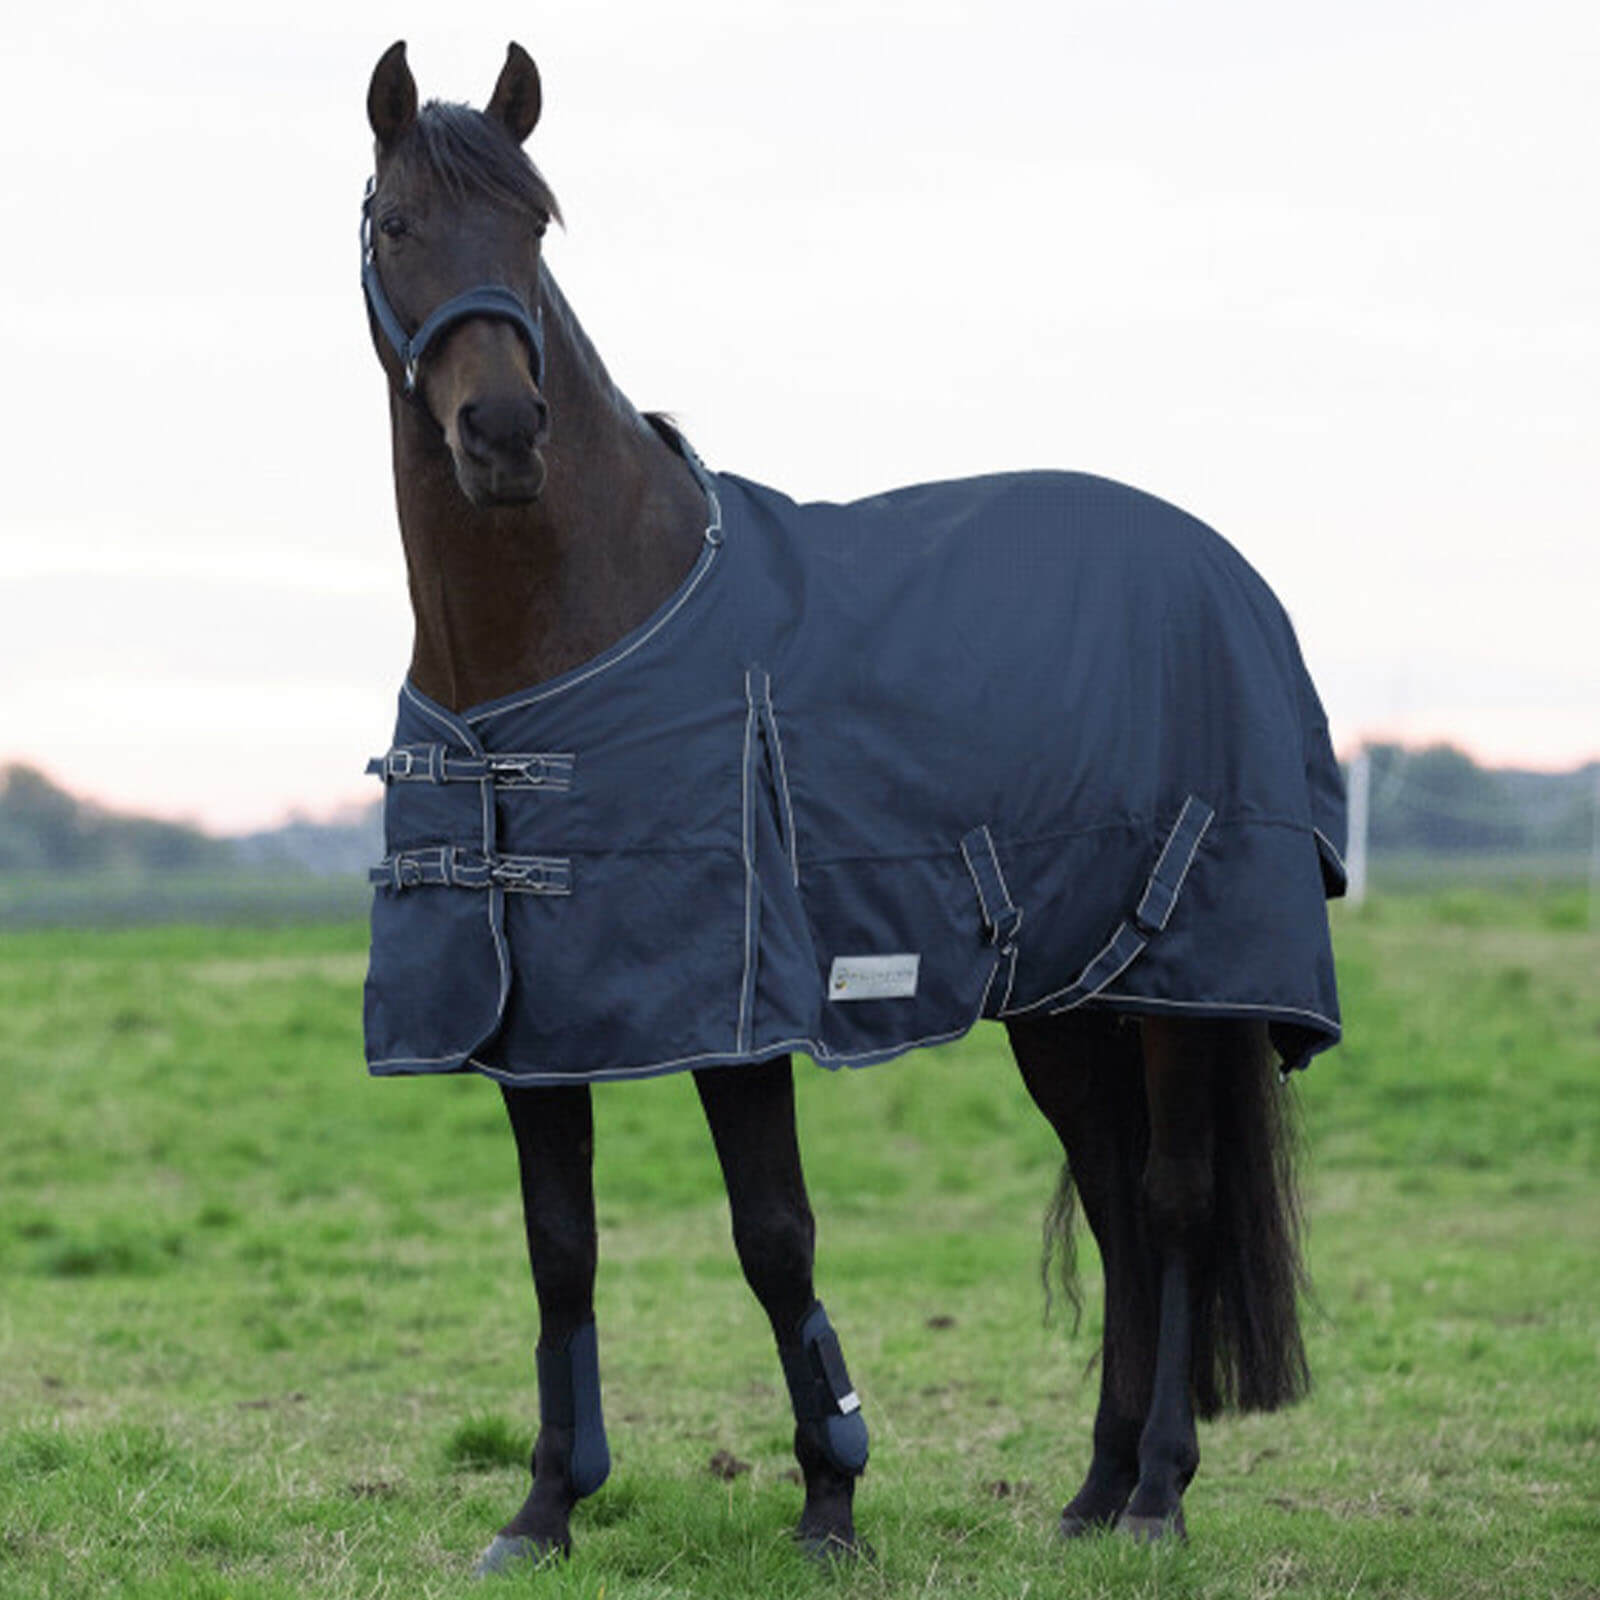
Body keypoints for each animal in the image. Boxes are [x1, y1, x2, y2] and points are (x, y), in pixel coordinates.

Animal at [356, 40, 1343, 1575]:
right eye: (398, 225)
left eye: (536, 230)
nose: (505, 434)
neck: (567, 631)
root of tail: (1223, 569)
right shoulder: (536, 1020)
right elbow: (559, 1248)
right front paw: (545, 1507)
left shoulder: (741, 1011)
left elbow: (775, 1235)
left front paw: (830, 1496)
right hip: (1065, 1006)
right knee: (1117, 1206)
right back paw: (1092, 1491)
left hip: (1194, 984)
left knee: (1174, 1203)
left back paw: (1158, 1498)